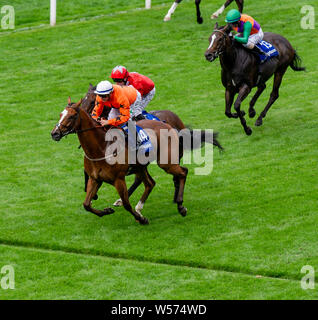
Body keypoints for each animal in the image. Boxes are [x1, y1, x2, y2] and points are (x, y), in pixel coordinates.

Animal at [50, 100, 189, 225]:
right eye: (61, 114)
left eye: (72, 116)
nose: (54, 133)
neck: (101, 147)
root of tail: (167, 124)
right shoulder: (95, 179)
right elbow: (86, 204)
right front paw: (106, 211)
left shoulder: (118, 179)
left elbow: (127, 204)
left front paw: (141, 219)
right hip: (140, 167)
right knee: (150, 183)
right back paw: (140, 207)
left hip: (166, 162)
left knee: (183, 172)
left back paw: (180, 206)